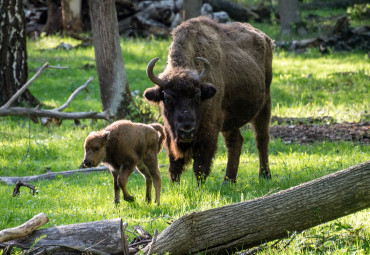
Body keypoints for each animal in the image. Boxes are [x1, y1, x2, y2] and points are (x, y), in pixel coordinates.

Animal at [145, 16, 274, 183]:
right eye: (167, 98)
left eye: (197, 96)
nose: (186, 130)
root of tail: (266, 38)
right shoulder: (169, 130)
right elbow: (175, 164)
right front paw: (175, 184)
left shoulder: (209, 129)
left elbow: (200, 165)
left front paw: (200, 186)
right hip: (230, 120)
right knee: (235, 142)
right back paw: (228, 181)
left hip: (265, 104)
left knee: (261, 139)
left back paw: (264, 175)